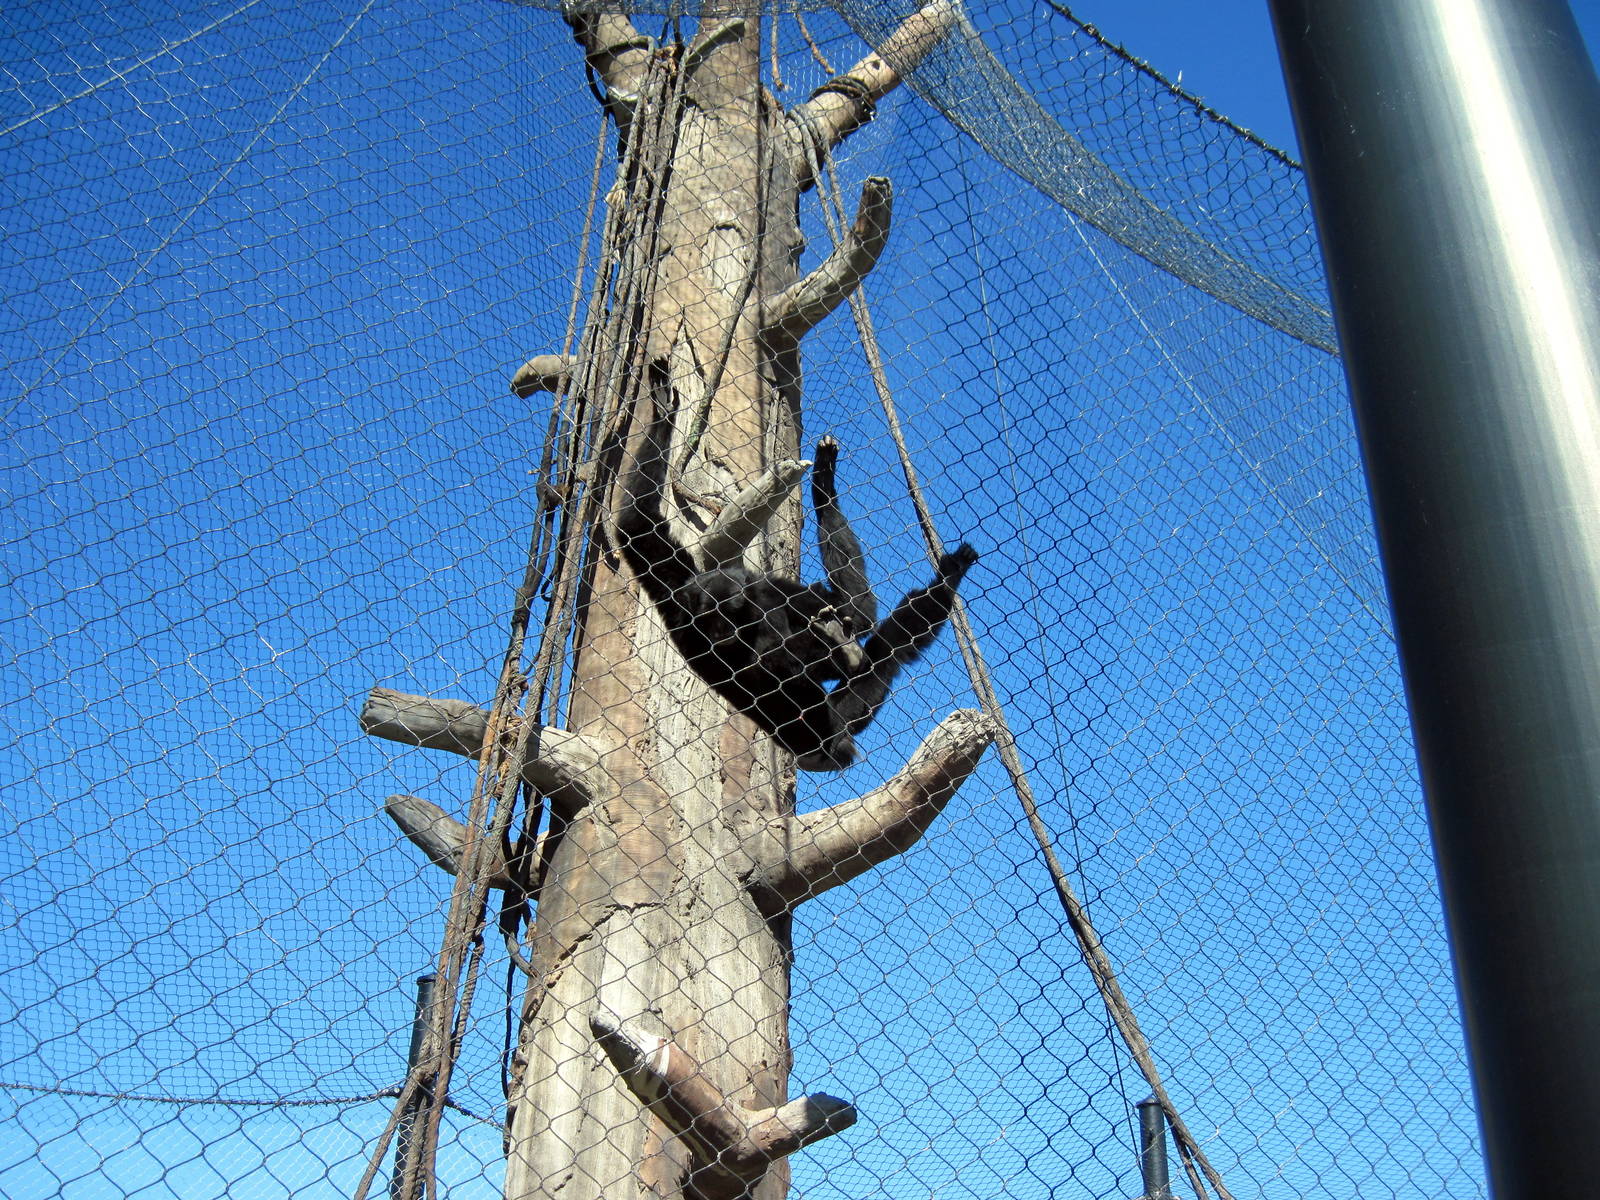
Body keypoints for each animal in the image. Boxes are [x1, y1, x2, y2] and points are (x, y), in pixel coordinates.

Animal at [615, 366, 978, 770]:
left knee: (879, 637)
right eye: (714, 617)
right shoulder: (688, 610)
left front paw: (663, 411)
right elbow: (770, 663)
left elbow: (635, 525)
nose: (724, 628)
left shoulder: (681, 583)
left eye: (729, 612)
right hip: (832, 727)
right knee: (877, 653)